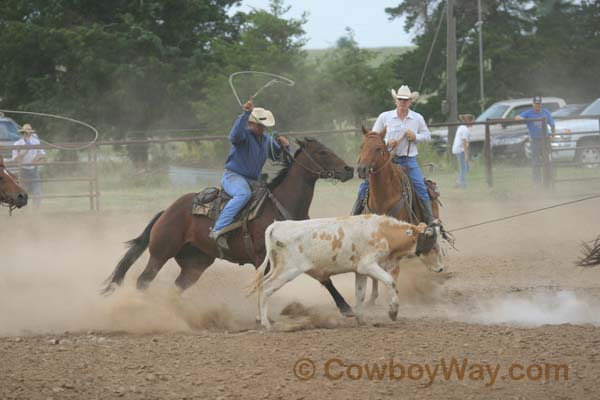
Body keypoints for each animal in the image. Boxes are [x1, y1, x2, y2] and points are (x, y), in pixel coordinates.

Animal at [102, 139, 356, 318]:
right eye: (322, 152)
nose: (349, 169)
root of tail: (166, 211)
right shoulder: (261, 257)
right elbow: (263, 286)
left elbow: (324, 278)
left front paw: (346, 308)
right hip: (160, 253)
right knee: (143, 281)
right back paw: (143, 311)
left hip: (195, 264)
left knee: (176, 287)